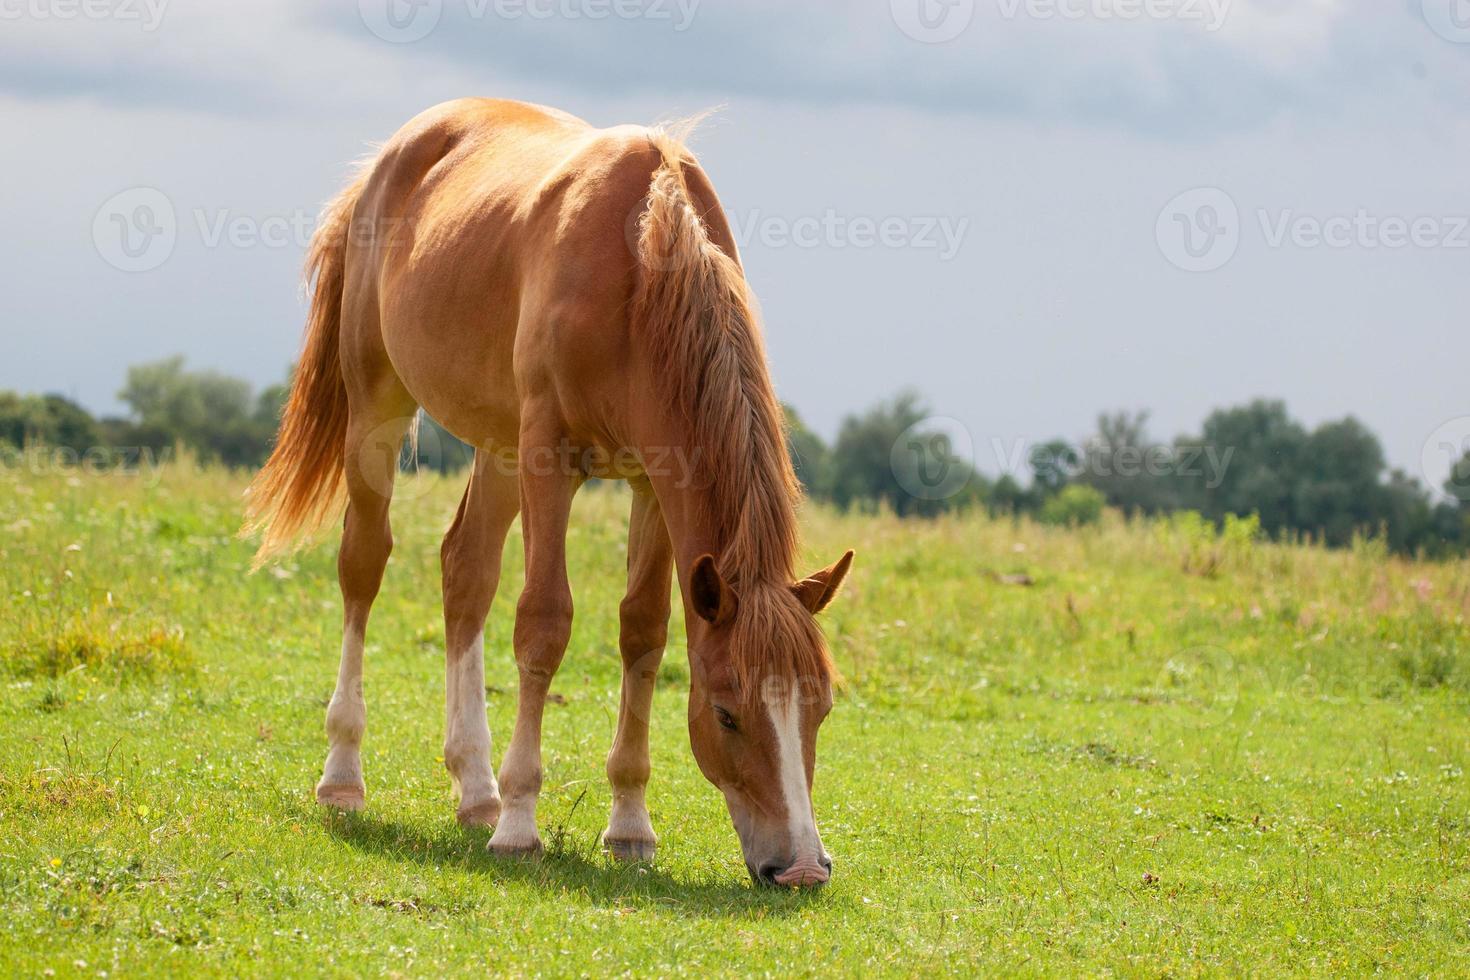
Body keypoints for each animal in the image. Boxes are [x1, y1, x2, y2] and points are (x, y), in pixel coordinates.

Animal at [242, 99, 858, 887]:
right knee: (364, 564)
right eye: (726, 712)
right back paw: (346, 774)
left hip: (498, 449)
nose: (803, 868)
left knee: (466, 571)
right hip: (380, 408)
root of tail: (392, 156)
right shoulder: (549, 461)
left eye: (821, 707)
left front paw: (629, 824)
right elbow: (543, 622)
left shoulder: (655, 483)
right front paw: (520, 823)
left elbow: (644, 633)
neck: (641, 265)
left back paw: (475, 786)